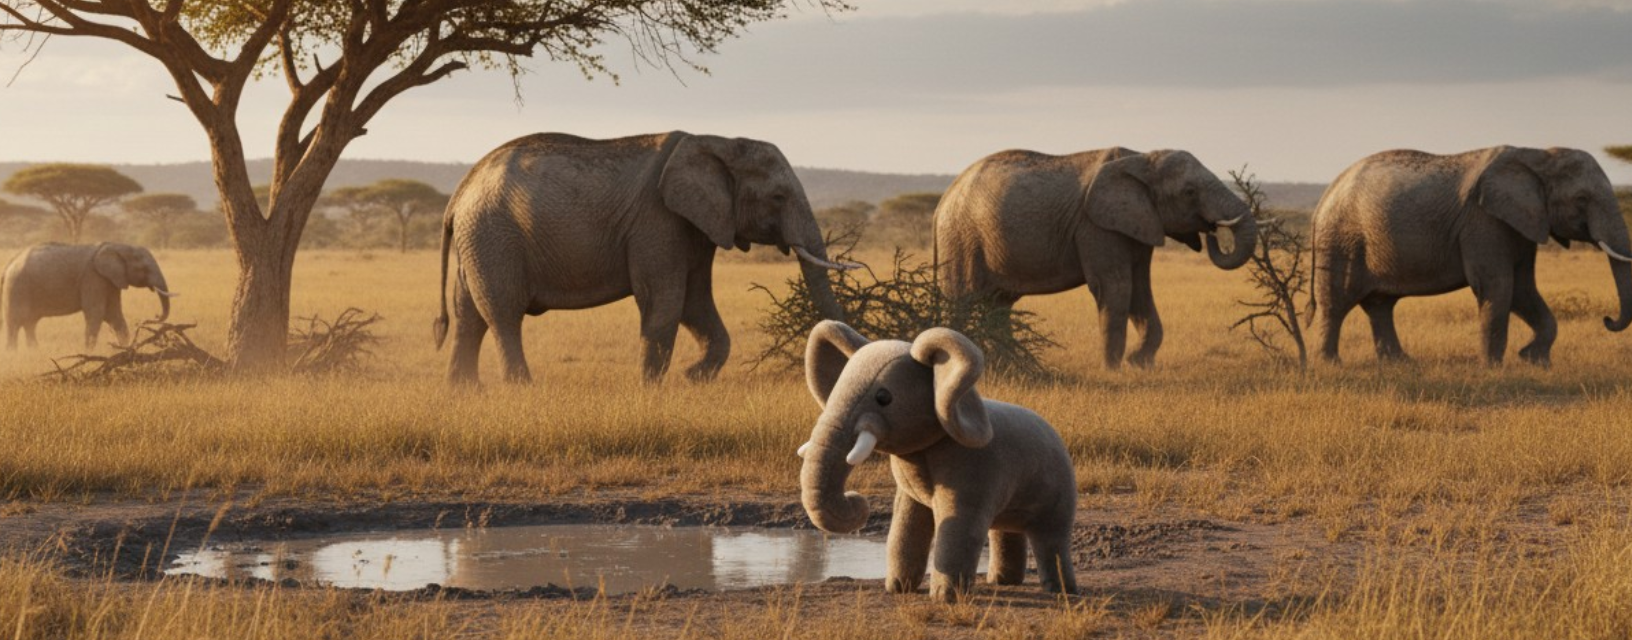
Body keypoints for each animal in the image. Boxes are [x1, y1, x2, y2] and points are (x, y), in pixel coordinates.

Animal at [2, 242, 177, 350]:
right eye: (144, 268)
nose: (154, 316)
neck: (117, 245)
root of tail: (9, 263)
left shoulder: (110, 281)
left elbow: (114, 315)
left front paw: (125, 349)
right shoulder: (93, 277)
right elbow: (96, 313)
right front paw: (89, 353)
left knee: (30, 324)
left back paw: (34, 351)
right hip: (16, 287)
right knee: (14, 324)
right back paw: (13, 355)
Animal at [432, 131, 856, 385]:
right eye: (778, 197)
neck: (718, 141)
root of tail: (461, 190)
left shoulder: (697, 227)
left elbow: (695, 303)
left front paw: (691, 379)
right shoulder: (658, 221)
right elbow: (665, 301)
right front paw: (652, 391)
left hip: (478, 240)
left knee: (469, 316)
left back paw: (464, 395)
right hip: (494, 236)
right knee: (503, 314)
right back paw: (522, 390)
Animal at [796, 321, 1078, 602]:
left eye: (883, 397)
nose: (857, 500)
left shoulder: (973, 470)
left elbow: (958, 524)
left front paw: (945, 598)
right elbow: (907, 522)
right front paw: (899, 589)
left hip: (1060, 487)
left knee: (1051, 536)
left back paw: (1062, 590)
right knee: (1004, 529)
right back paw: (1003, 581)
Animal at [934, 148, 1258, 369]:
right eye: (1189, 192)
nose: (1213, 230)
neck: (1141, 159)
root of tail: (942, 202)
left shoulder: (1138, 223)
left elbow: (1140, 290)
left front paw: (1140, 364)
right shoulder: (1096, 226)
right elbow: (1116, 287)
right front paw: (1113, 370)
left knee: (999, 305)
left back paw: (1011, 363)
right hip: (961, 238)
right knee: (962, 300)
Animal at [1310, 146, 1632, 365]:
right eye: (1581, 200)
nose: (1607, 319)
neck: (1538, 156)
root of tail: (1324, 196)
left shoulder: (1522, 223)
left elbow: (1523, 289)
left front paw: (1534, 360)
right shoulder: (1483, 221)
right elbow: (1498, 286)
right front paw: (1494, 369)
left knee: (1380, 305)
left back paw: (1401, 364)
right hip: (1340, 241)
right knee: (1336, 303)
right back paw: (1331, 365)